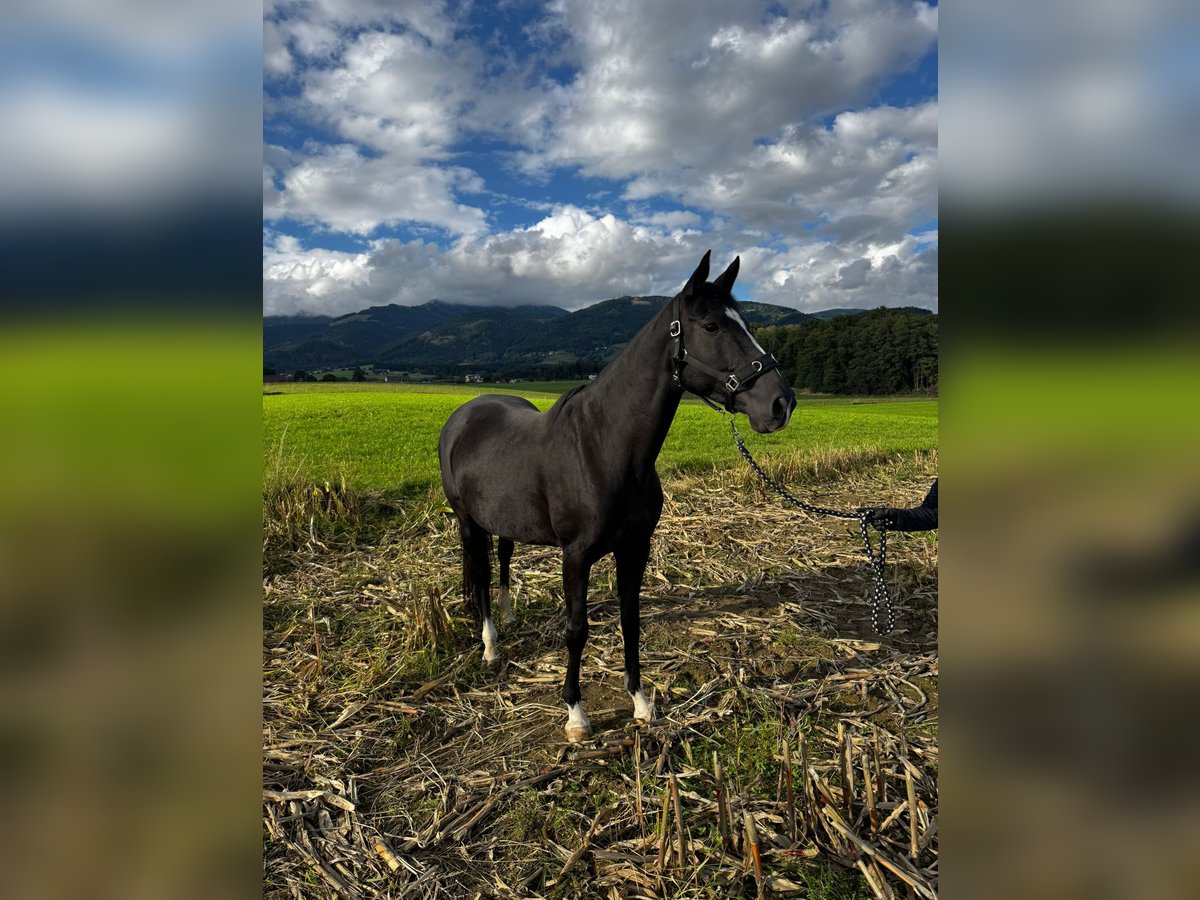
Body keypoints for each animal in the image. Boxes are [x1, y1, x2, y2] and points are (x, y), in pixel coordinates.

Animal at [438, 251, 796, 741]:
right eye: (711, 326)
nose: (781, 403)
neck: (604, 448)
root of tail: (463, 415)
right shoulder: (576, 555)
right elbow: (576, 630)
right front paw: (575, 714)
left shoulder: (635, 549)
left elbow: (631, 620)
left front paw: (641, 703)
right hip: (467, 522)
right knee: (480, 577)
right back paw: (491, 646)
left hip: (502, 518)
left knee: (504, 558)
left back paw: (509, 619)